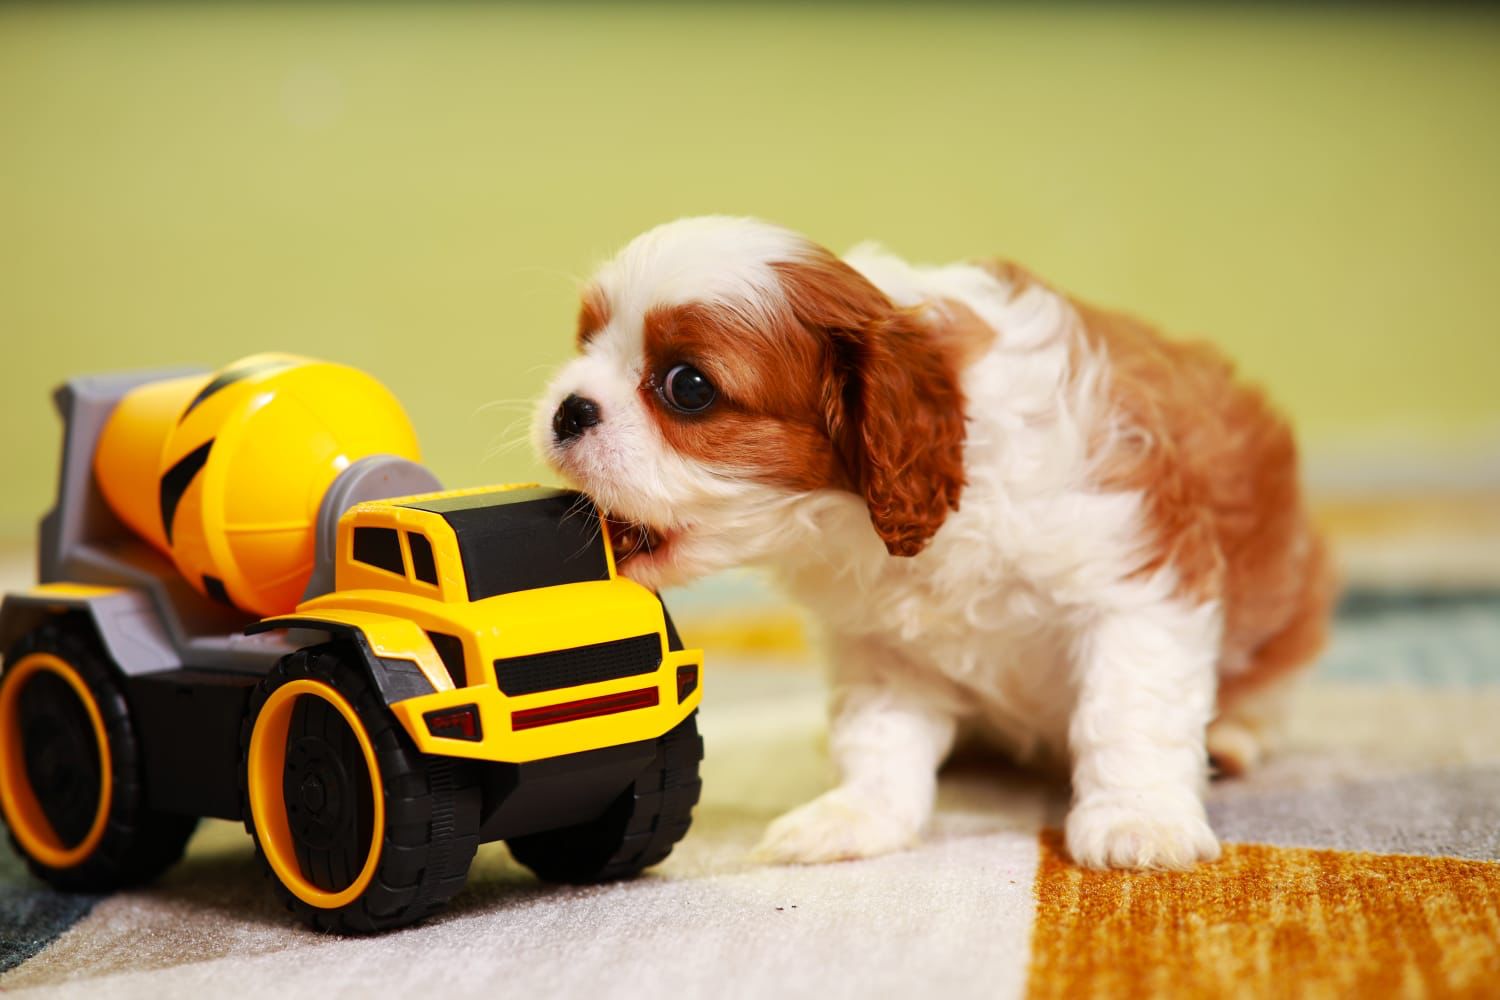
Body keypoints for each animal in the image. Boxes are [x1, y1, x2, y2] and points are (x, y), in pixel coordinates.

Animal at [534, 216, 1335, 869]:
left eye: (687, 386)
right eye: (584, 344)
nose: (569, 410)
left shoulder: (1137, 584)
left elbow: (1128, 710)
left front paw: (1139, 820)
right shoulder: (882, 646)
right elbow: (879, 738)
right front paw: (857, 816)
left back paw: (1231, 738)